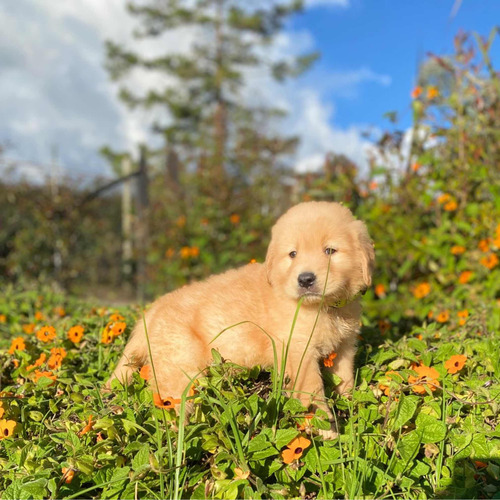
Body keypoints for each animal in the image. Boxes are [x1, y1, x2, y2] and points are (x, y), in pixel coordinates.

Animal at [106, 201, 372, 440]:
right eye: (293, 254)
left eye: (330, 251)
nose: (305, 279)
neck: (324, 307)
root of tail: (150, 313)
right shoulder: (299, 351)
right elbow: (312, 390)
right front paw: (324, 426)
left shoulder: (344, 346)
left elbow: (345, 378)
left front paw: (350, 403)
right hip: (179, 368)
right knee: (169, 404)